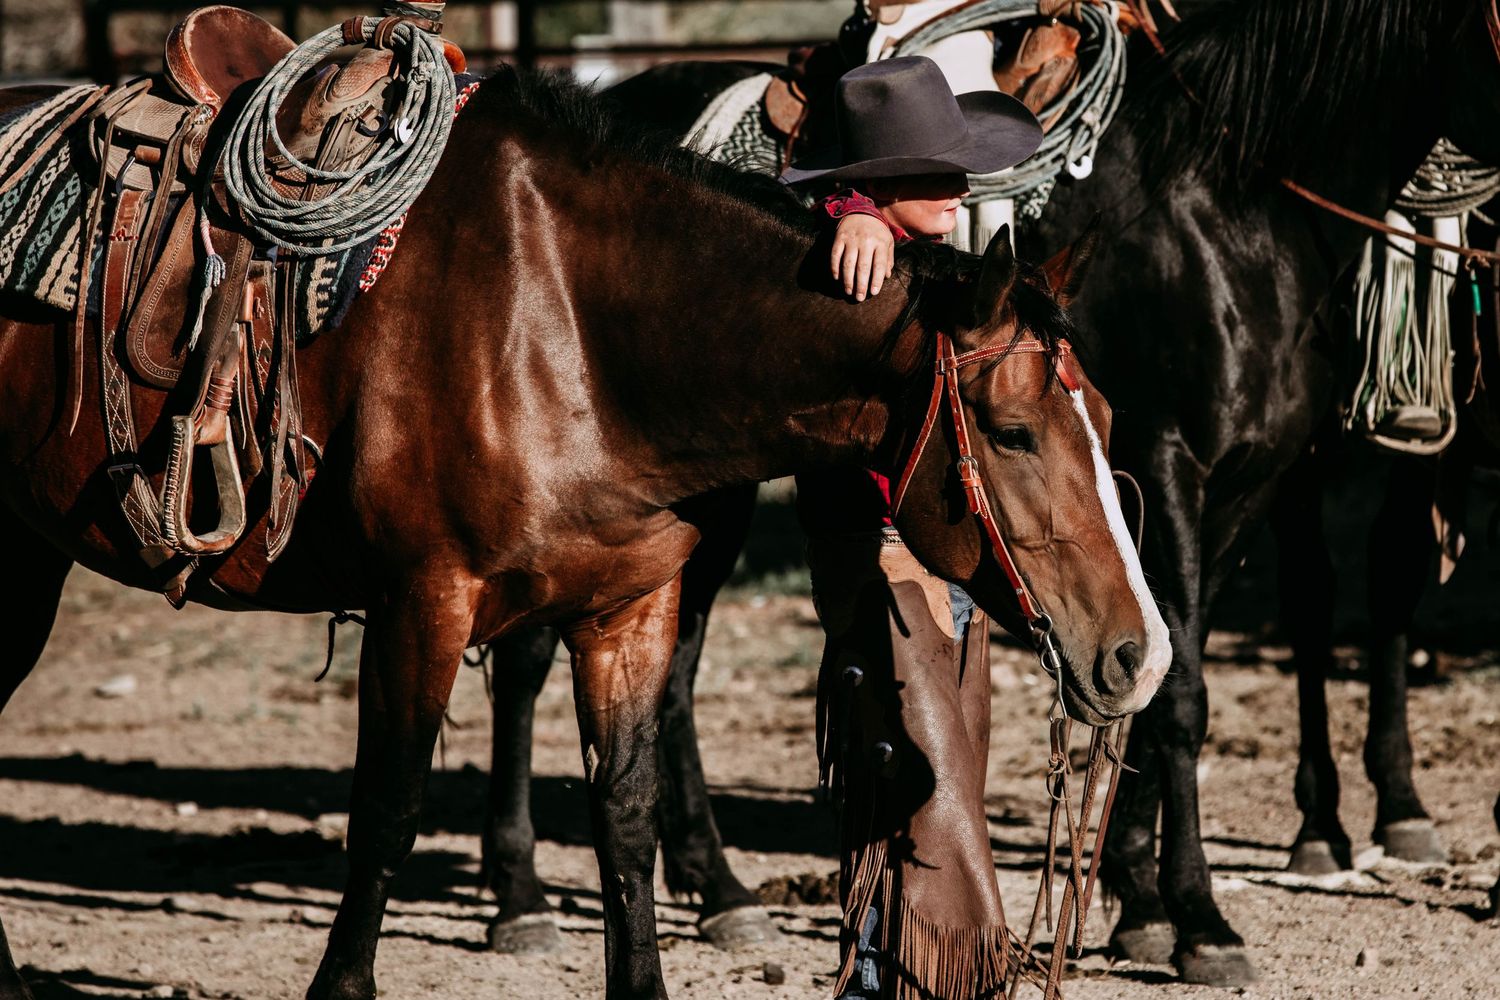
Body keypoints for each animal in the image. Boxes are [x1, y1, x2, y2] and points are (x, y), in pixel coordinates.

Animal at [0, 61, 1170, 1000]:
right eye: (1013, 432)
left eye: (1109, 421)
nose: (1139, 653)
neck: (568, 326)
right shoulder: (423, 602)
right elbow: (387, 810)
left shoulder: (629, 610)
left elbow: (625, 815)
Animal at [480, 0, 1500, 986]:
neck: (1226, 205)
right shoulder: (1173, 468)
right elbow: (1182, 696)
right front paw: (1196, 917)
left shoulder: (1243, 488)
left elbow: (1162, 672)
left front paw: (1137, 899)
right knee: (530, 661)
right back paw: (519, 895)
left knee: (677, 669)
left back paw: (720, 888)